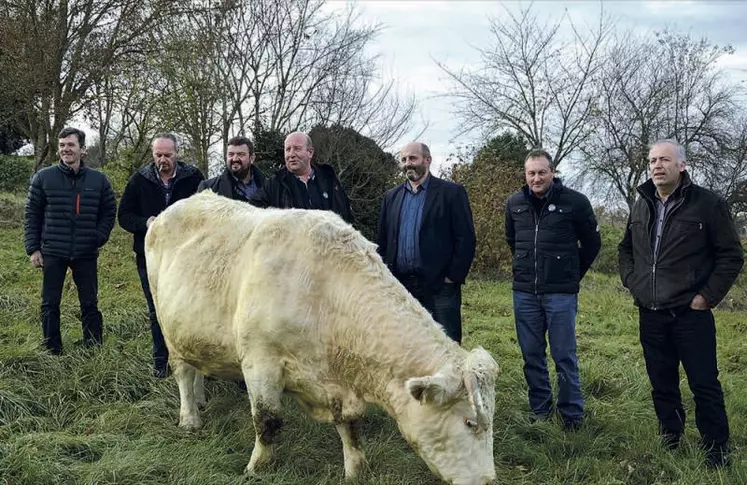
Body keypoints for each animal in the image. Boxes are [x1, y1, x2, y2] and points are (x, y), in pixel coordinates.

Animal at [143, 191, 500, 482]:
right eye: (470, 422)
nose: (487, 481)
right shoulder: (260, 361)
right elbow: (267, 420)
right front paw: (258, 467)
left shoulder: (339, 385)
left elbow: (350, 426)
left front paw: (357, 469)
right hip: (165, 322)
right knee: (183, 372)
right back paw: (190, 417)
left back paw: (201, 399)